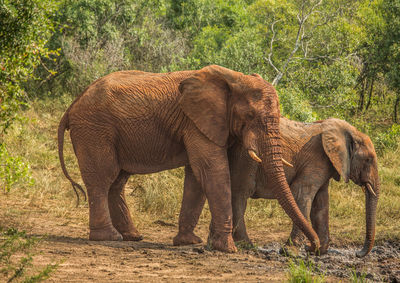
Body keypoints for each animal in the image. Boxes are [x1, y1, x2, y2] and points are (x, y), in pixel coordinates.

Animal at [57, 66, 318, 253]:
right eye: (251, 115)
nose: (315, 248)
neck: (234, 78)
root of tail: (72, 105)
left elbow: (196, 176)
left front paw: (190, 242)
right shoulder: (195, 122)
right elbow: (212, 171)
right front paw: (227, 249)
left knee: (117, 181)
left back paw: (132, 236)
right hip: (95, 129)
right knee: (103, 178)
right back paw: (108, 237)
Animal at [227, 117, 380, 258]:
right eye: (368, 160)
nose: (358, 253)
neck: (350, 131)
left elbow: (321, 203)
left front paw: (318, 251)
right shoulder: (317, 159)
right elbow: (301, 194)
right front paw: (291, 252)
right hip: (246, 159)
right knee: (240, 194)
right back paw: (246, 245)